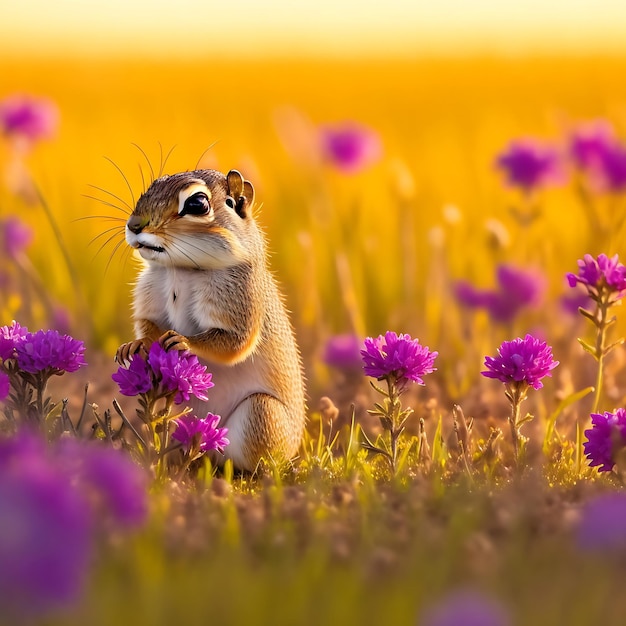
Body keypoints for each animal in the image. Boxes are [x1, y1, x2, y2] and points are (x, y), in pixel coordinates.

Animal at [116, 168, 304, 470]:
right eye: (152, 185)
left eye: (197, 203)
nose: (134, 225)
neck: (182, 269)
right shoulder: (150, 295)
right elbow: (147, 324)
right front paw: (135, 345)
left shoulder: (240, 300)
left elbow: (234, 344)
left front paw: (183, 342)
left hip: (260, 411)